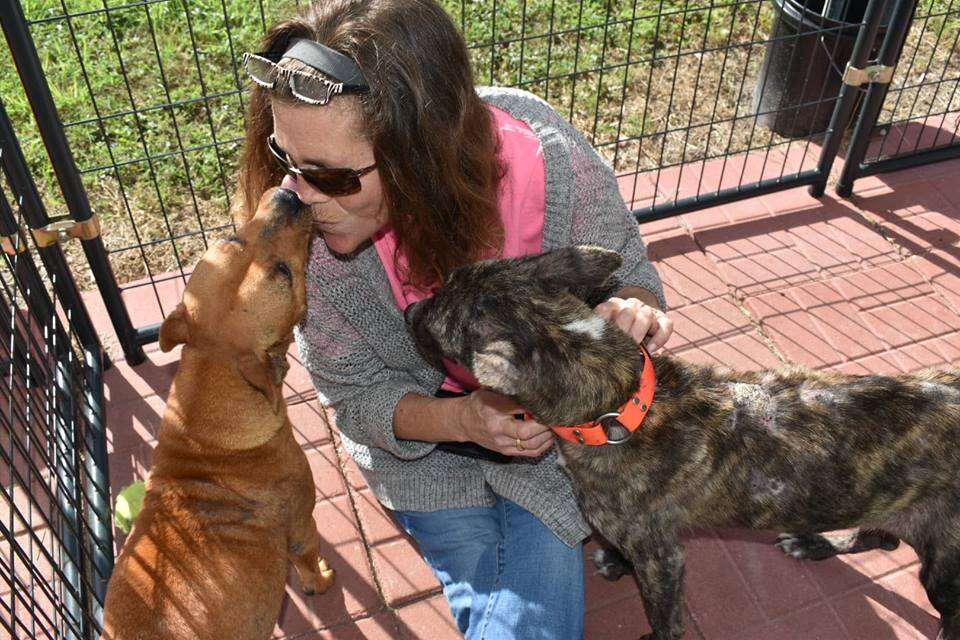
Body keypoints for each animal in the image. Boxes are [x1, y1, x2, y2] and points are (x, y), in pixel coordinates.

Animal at [103, 189, 336, 640]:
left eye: (231, 237)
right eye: (284, 273)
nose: (287, 194)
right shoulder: (302, 528)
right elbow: (307, 565)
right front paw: (320, 580)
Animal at [404, 245, 960, 640]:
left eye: (437, 319)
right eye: (441, 284)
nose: (407, 310)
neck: (621, 402)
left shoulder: (663, 559)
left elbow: (665, 618)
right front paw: (613, 560)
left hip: (945, 566)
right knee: (884, 536)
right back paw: (816, 542)